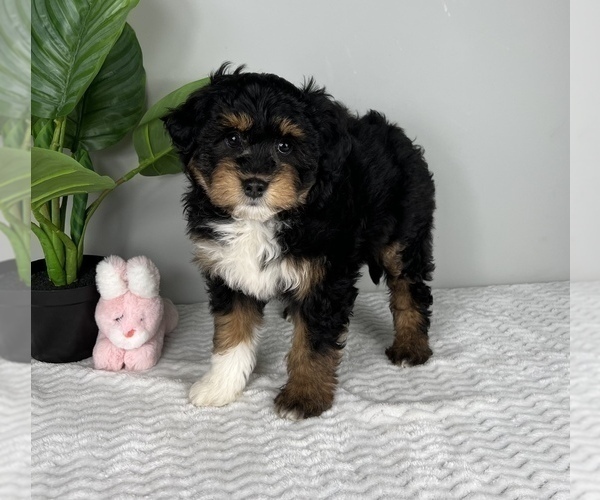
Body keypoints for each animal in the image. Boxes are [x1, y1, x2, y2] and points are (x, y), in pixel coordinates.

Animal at [164, 64, 436, 420]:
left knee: (410, 288)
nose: (255, 184)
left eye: (285, 146)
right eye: (232, 138)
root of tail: (399, 136)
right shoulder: (228, 271)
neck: (261, 221)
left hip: (404, 236)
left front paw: (303, 396)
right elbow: (232, 331)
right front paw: (219, 386)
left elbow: (313, 343)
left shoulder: (325, 279)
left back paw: (410, 347)